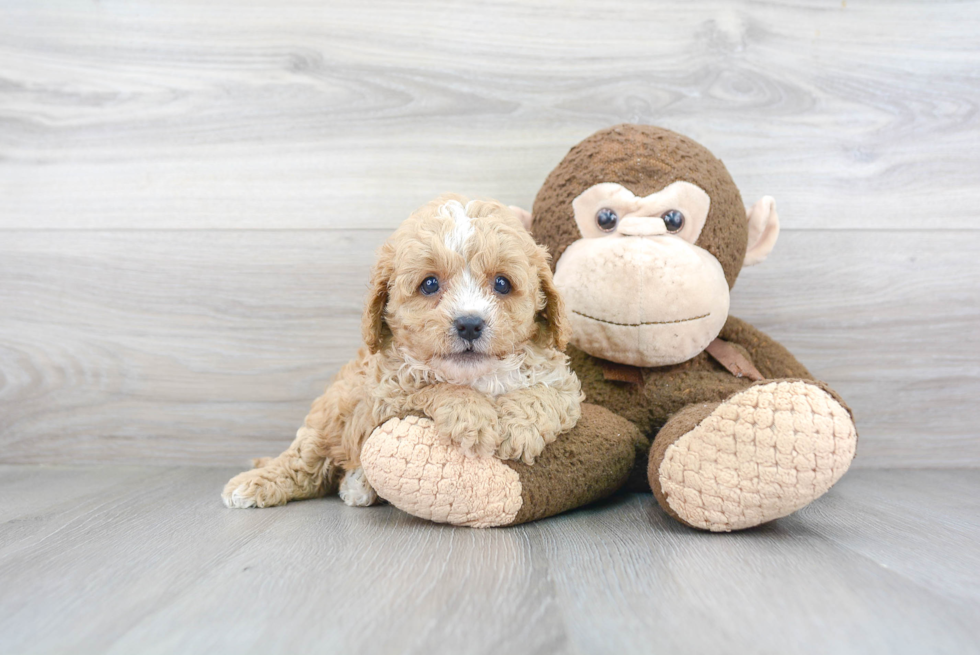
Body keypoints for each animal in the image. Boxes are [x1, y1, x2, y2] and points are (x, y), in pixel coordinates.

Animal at [222, 192, 580, 510]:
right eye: (430, 284)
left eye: (502, 284)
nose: (469, 324)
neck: (475, 377)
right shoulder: (385, 396)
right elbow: (432, 387)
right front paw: (471, 416)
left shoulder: (562, 384)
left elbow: (543, 394)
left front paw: (520, 430)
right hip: (330, 418)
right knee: (304, 462)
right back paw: (252, 484)